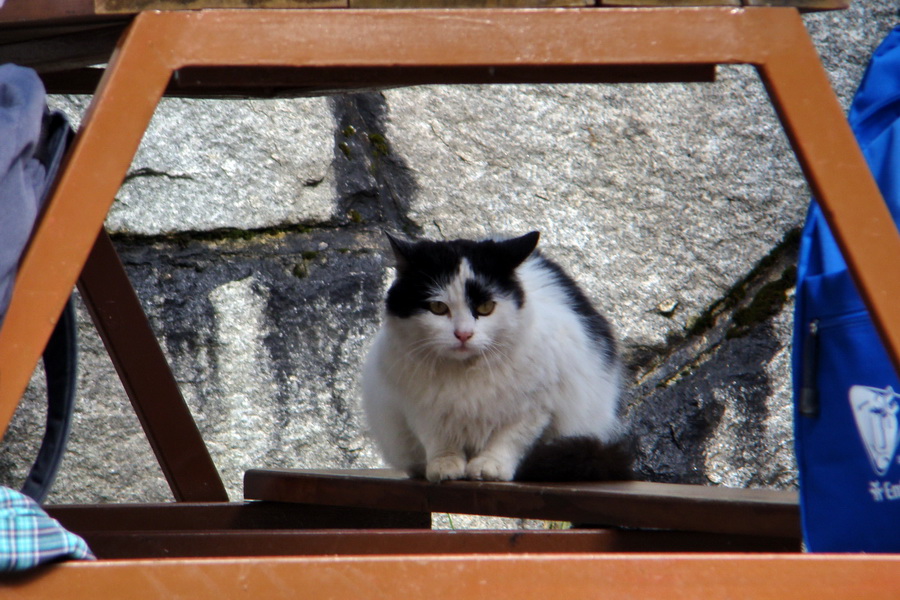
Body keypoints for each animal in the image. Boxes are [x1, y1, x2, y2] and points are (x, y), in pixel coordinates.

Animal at [360, 231, 632, 482]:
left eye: (485, 308)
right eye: (437, 308)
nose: (463, 334)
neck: (464, 374)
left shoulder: (535, 408)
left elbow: (509, 440)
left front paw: (489, 467)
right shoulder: (420, 408)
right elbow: (439, 441)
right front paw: (445, 467)